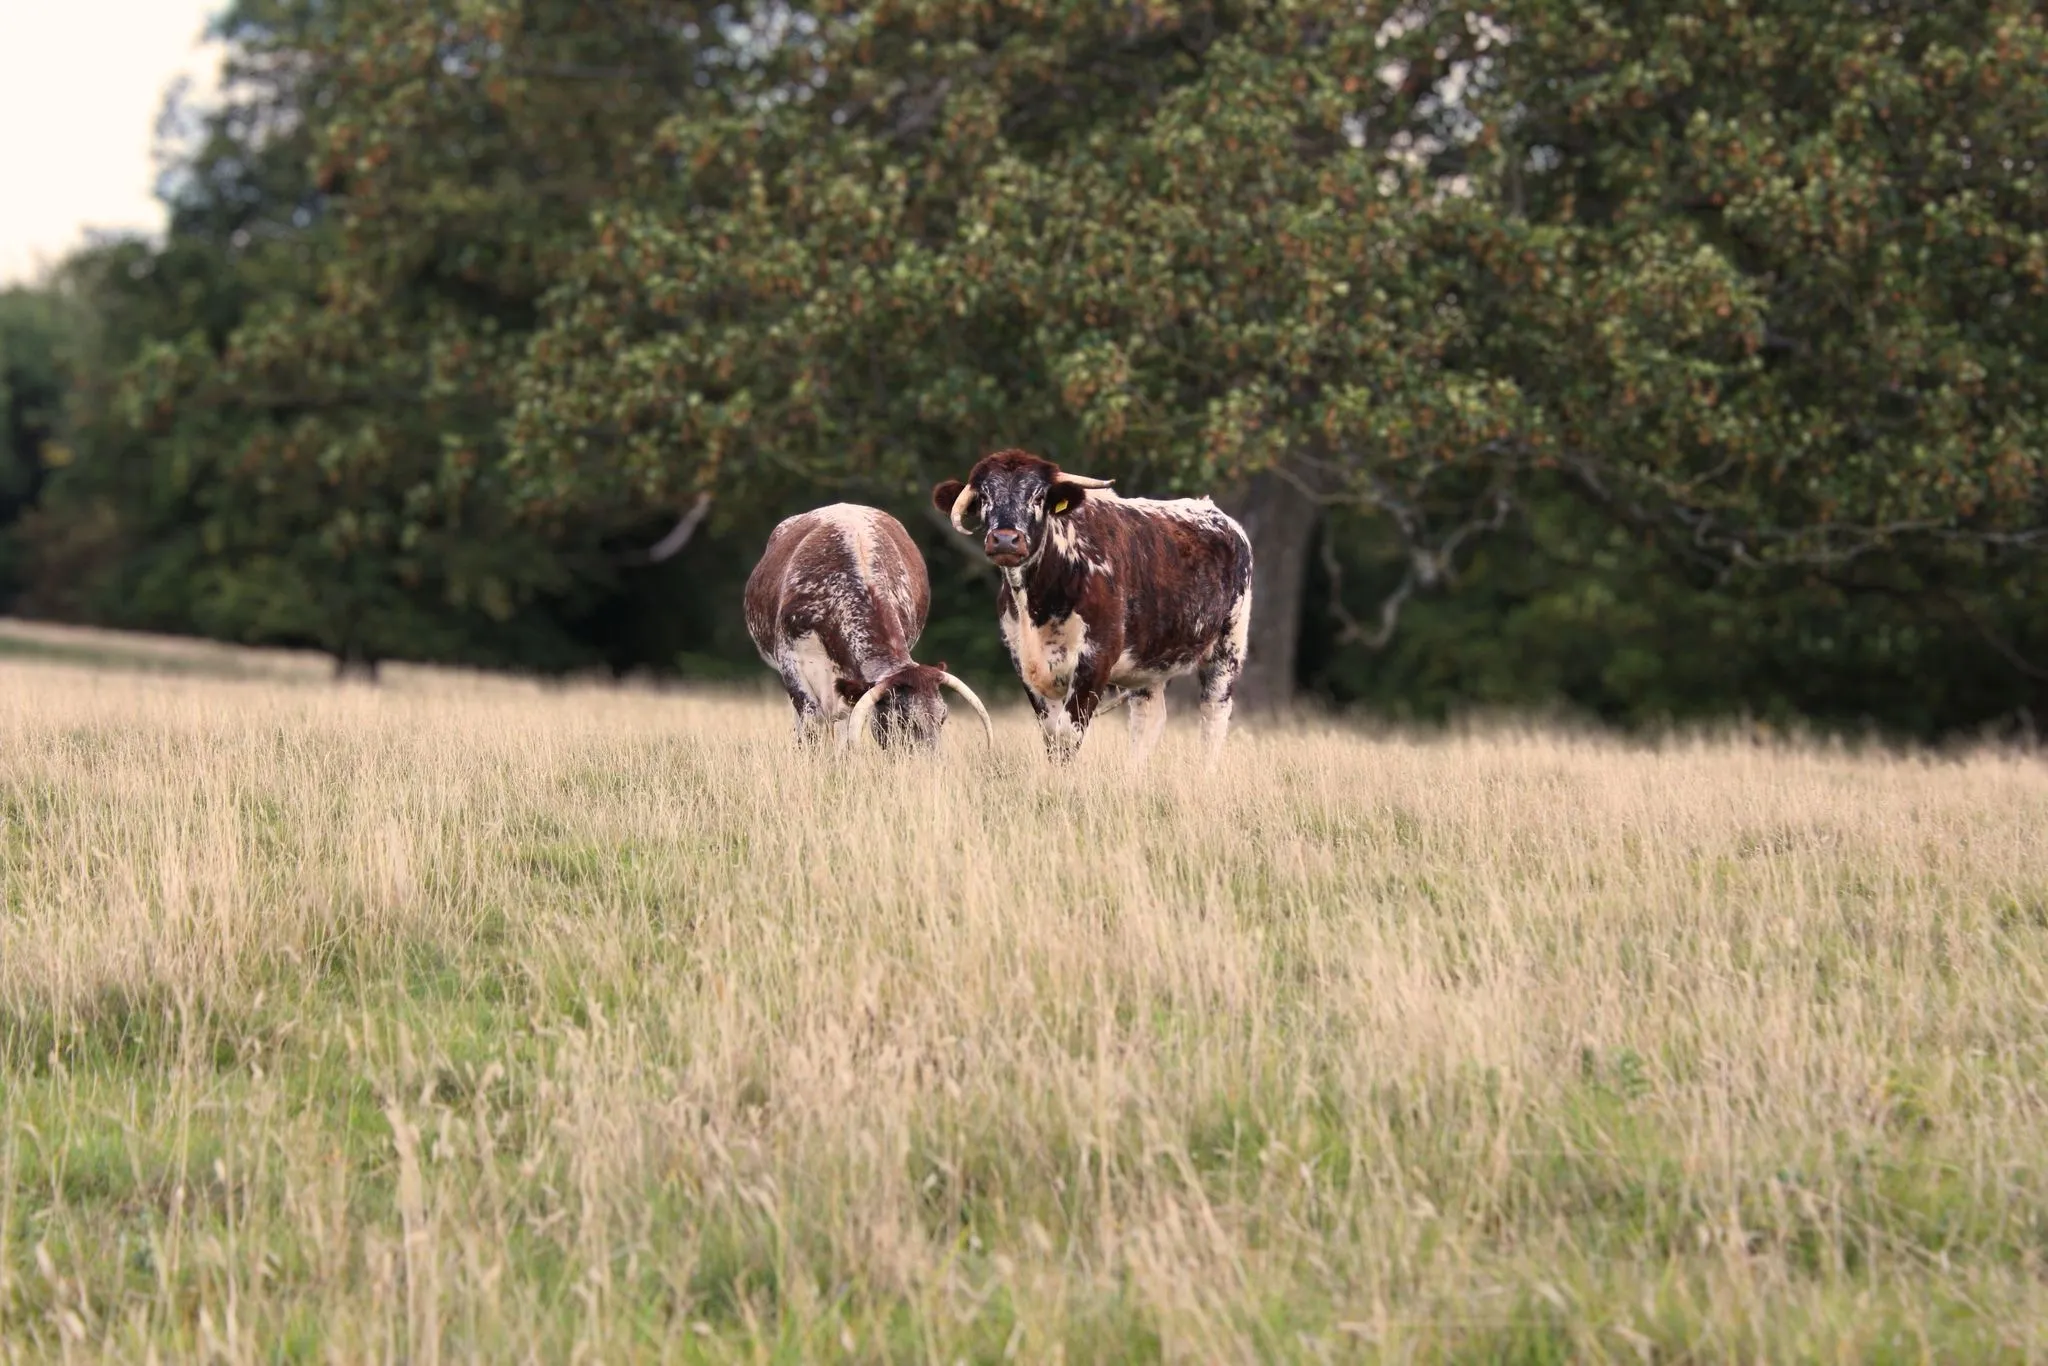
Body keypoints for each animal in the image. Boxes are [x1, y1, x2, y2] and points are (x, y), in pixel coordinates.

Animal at [931, 449, 1252, 763]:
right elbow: (1051, 736)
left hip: (1228, 649)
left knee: (1213, 716)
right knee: (1147, 720)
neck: (1039, 605)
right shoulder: (1024, 663)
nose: (1006, 540)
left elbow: (1067, 734)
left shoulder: (1095, 660)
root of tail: (1217, 514)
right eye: (985, 496)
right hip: (1149, 664)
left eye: (1038, 496)